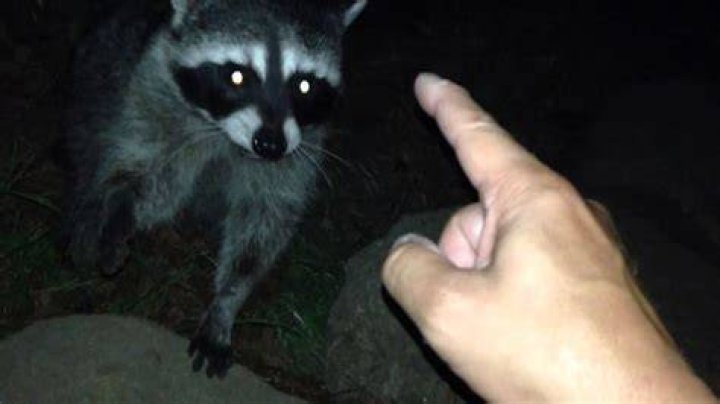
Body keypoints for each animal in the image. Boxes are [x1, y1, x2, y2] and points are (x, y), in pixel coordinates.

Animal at [63, 0, 365, 377]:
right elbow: (149, 179)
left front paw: (227, 301)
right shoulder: (156, 96)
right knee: (93, 150)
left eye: (305, 86)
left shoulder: (298, 152)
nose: (270, 145)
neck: (229, 138)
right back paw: (89, 212)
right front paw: (121, 207)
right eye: (237, 76)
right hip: (95, 80)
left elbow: (262, 227)